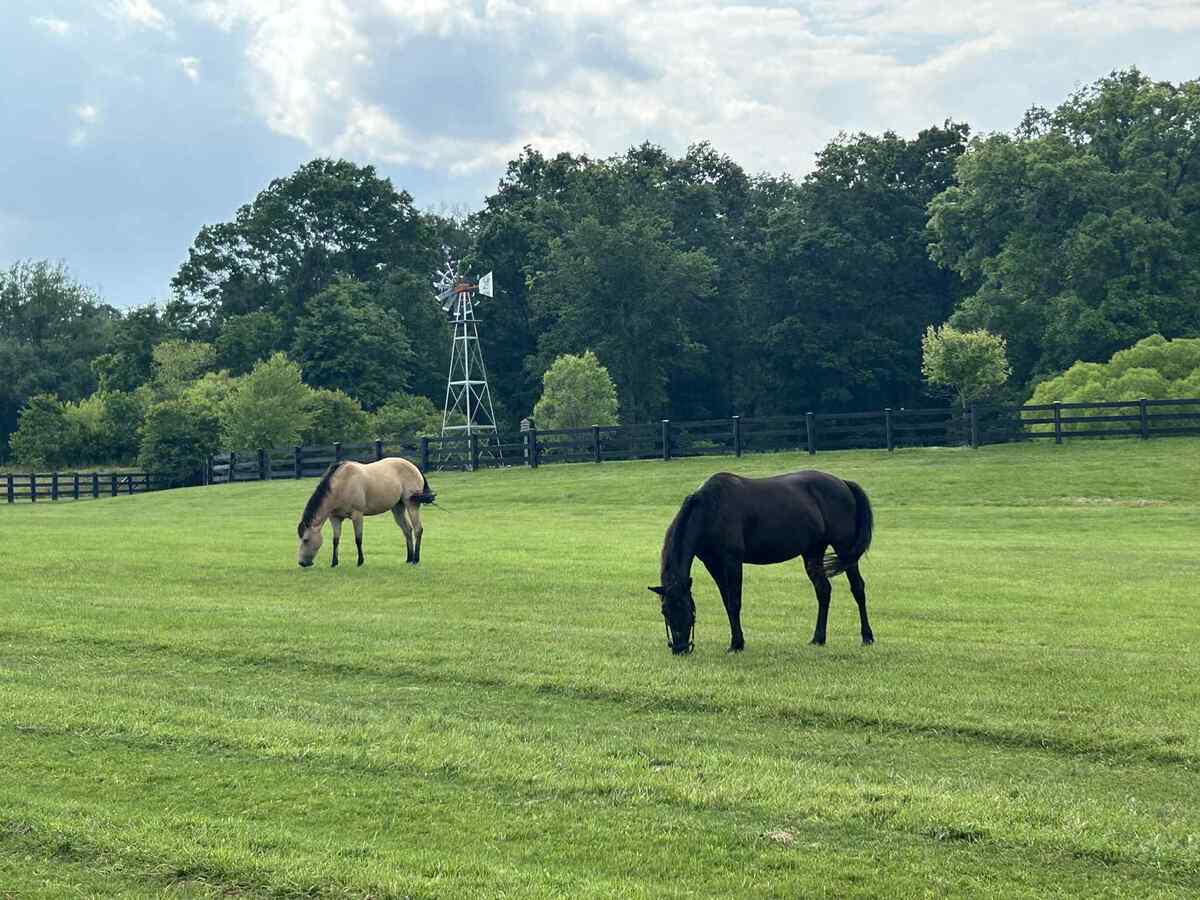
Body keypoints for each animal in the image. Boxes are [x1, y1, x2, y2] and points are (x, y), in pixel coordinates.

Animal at [296, 457, 436, 568]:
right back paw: (409, 558)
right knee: (407, 530)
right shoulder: (335, 518)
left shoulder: (357, 515)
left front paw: (360, 561)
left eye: (306, 540)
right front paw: (334, 563)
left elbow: (358, 539)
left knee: (418, 529)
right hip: (397, 508)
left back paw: (416, 559)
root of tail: (414, 467)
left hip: (411, 505)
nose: (302, 563)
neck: (342, 484)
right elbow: (335, 540)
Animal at [648, 470, 874, 654]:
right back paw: (818, 639)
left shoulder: (732, 562)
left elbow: (734, 602)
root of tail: (843, 483)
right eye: (664, 611)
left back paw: (867, 637)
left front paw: (737, 644)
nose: (680, 649)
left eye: (689, 608)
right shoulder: (713, 564)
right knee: (823, 591)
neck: (711, 510)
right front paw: (736, 641)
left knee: (858, 588)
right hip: (812, 553)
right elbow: (726, 601)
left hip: (844, 549)